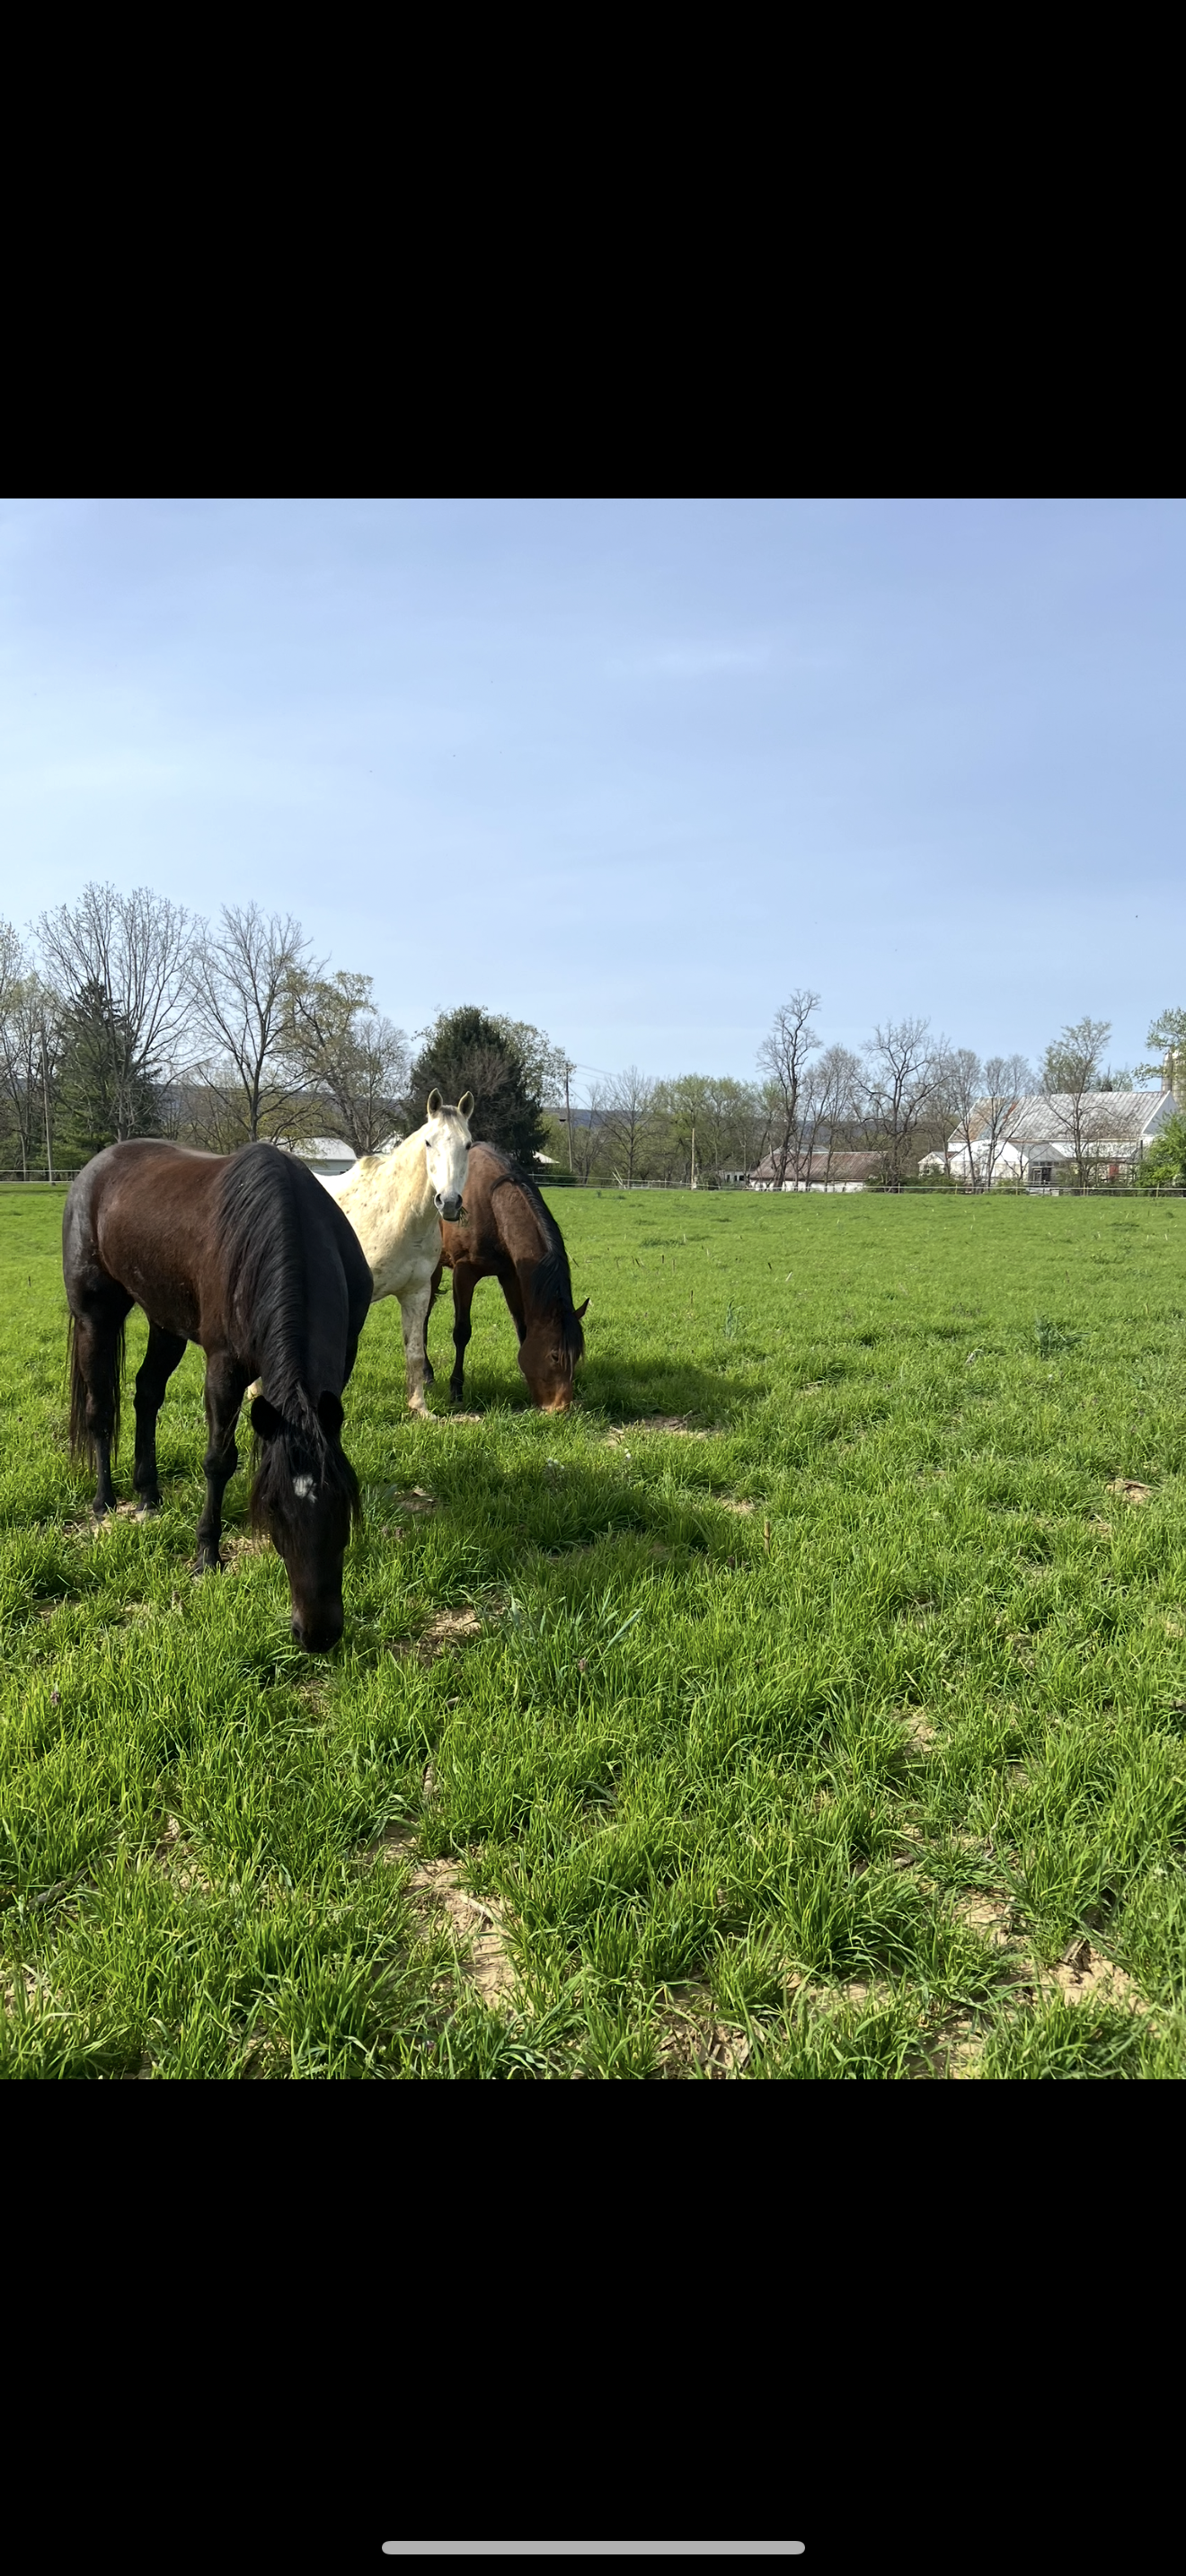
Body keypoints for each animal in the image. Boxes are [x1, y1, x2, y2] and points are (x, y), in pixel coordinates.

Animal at [62, 1138, 373, 1653]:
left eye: (344, 1503)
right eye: (274, 1511)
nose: (317, 1635)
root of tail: (94, 1167)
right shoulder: (223, 1368)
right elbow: (218, 1461)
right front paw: (207, 1554)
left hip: (164, 1320)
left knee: (146, 1395)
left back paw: (148, 1494)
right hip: (95, 1315)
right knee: (100, 1410)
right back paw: (105, 1501)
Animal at [316, 1092, 473, 1418]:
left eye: (467, 1144)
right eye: (429, 1143)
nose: (449, 1202)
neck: (396, 1214)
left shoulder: (416, 1293)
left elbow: (414, 1352)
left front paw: (419, 1409)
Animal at [425, 1142, 588, 1412]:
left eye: (577, 1355)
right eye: (555, 1355)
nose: (561, 1407)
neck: (492, 1203)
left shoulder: (510, 1275)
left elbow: (522, 1327)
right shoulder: (464, 1273)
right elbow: (462, 1332)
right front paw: (456, 1388)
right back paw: (426, 1373)